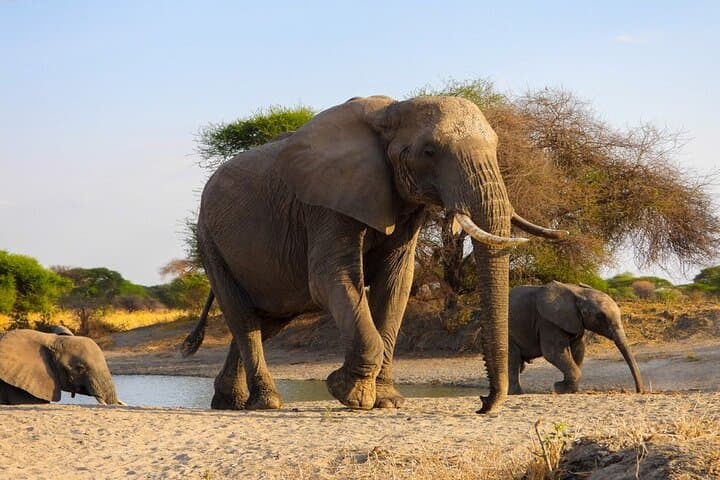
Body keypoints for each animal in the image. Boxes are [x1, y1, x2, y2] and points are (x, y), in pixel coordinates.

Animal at [182, 95, 567, 413]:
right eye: (429, 151)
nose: (483, 403)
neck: (391, 111)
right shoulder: (326, 202)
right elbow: (328, 279)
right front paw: (348, 394)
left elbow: (397, 283)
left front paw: (387, 402)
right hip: (209, 240)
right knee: (243, 316)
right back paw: (266, 403)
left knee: (265, 321)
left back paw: (230, 403)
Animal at [508, 281, 644, 395]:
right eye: (601, 316)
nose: (639, 391)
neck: (578, 293)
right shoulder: (547, 321)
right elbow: (553, 353)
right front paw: (559, 388)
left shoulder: (575, 321)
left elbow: (579, 350)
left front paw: (568, 389)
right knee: (513, 358)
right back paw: (516, 393)